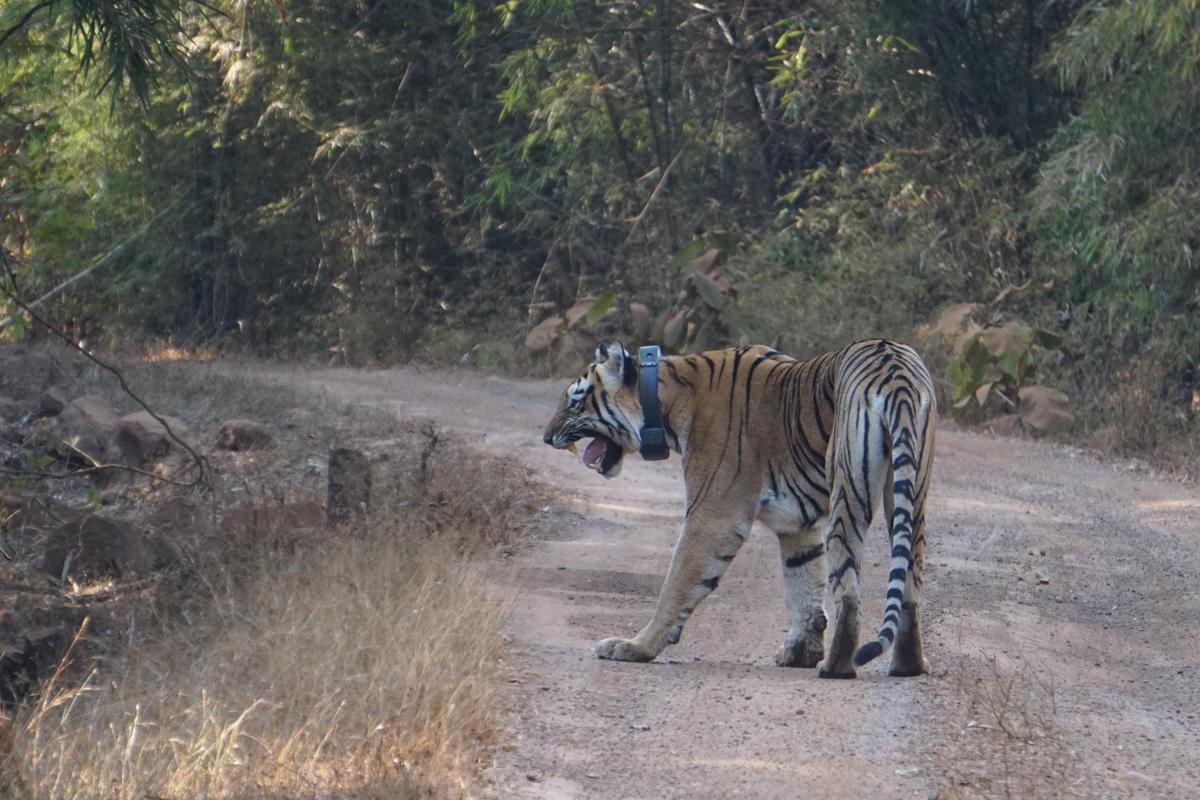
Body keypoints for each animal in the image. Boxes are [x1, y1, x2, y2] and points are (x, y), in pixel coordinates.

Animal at [542, 339, 937, 678]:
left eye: (575, 401)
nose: (546, 438)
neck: (665, 400)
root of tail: (896, 370)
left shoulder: (713, 514)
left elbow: (677, 583)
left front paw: (635, 647)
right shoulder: (797, 524)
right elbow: (803, 585)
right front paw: (799, 652)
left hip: (849, 492)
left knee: (850, 591)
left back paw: (836, 667)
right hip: (911, 494)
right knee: (909, 584)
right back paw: (908, 665)